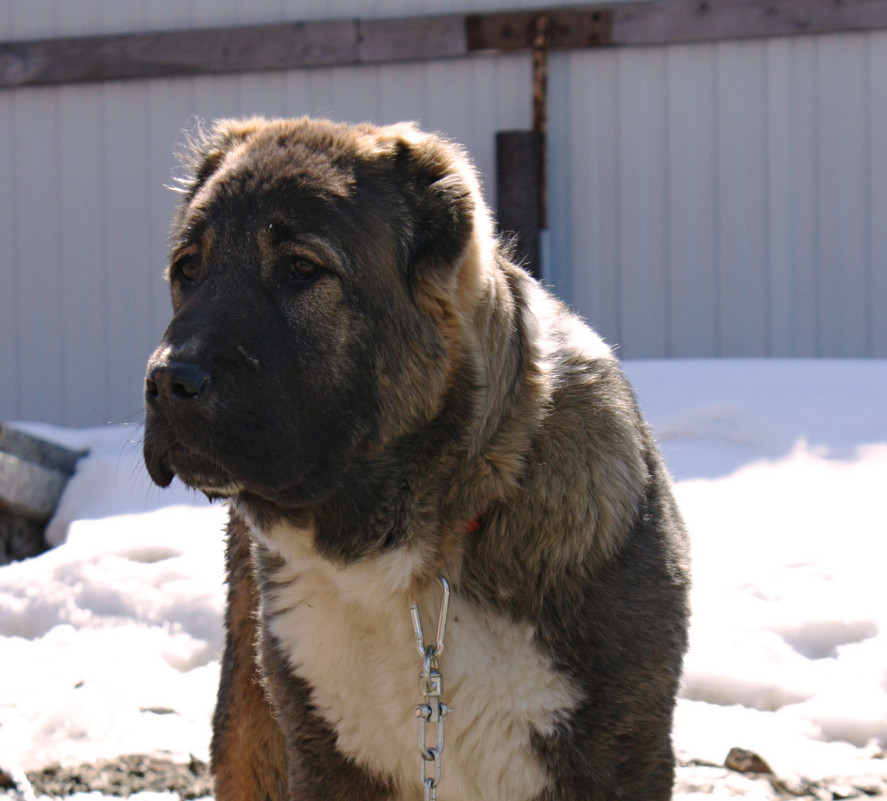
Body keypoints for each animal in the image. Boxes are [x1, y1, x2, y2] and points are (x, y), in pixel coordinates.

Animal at [142, 117, 692, 800]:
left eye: (301, 268)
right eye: (188, 270)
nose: (165, 381)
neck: (414, 565)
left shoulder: (621, 758)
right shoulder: (325, 758)